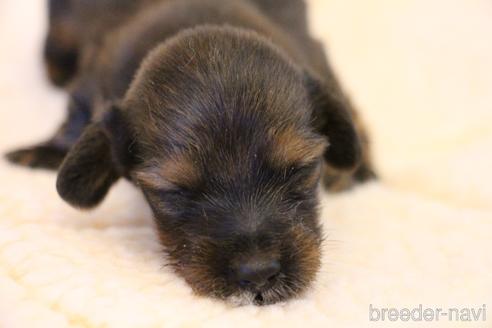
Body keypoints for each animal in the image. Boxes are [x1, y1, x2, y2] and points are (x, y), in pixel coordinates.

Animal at [5, 0, 374, 304]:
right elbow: (77, 115)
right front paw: (44, 151)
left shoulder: (315, 56)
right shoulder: (93, 79)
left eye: (300, 169)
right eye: (175, 191)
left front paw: (358, 167)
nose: (258, 274)